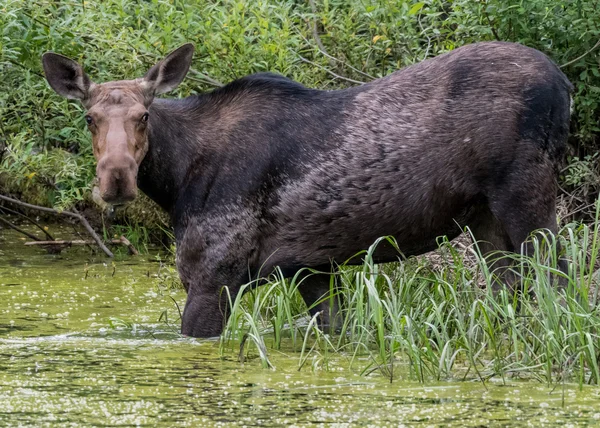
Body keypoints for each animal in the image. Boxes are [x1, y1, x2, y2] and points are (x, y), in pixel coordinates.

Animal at [42, 42, 572, 338]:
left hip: (527, 197)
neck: (177, 181)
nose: (116, 179)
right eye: (89, 118)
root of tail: (565, 83)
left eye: (144, 115)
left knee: (561, 286)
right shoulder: (309, 268)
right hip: (484, 218)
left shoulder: (213, 274)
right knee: (509, 292)